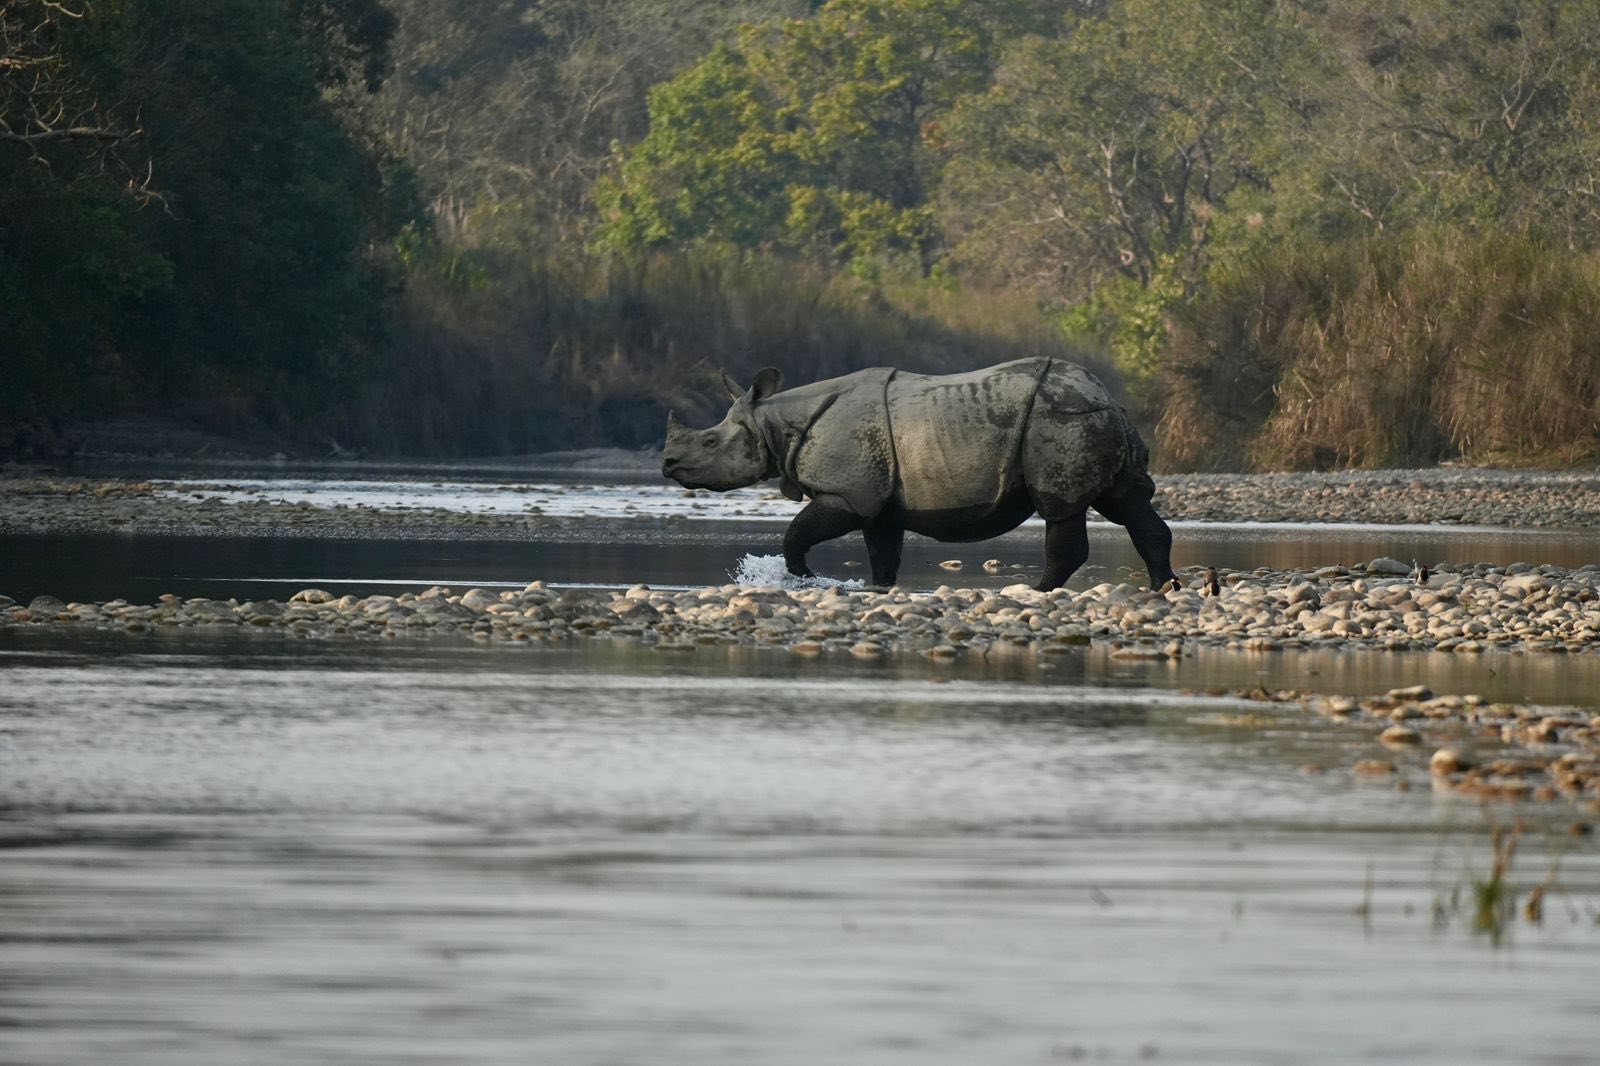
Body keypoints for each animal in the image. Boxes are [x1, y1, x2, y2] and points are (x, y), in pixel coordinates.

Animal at [661, 357, 1177, 591]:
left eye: (709, 444)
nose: (667, 465)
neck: (773, 422)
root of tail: (1107, 396)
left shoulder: (848, 494)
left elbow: (797, 533)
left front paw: (804, 577)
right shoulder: (878, 502)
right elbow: (882, 554)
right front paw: (879, 589)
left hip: (1060, 421)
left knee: (1062, 509)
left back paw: (1034, 590)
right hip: (1089, 418)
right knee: (1128, 502)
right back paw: (1163, 587)